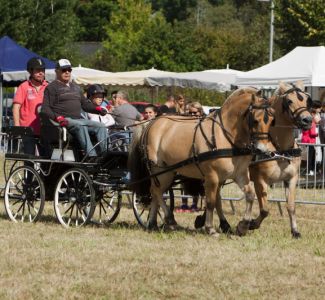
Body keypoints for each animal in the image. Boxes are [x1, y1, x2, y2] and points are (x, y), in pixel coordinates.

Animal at [128, 88, 274, 236]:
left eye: (272, 121)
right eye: (255, 121)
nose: (262, 150)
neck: (225, 136)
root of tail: (150, 123)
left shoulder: (240, 174)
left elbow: (249, 195)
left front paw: (243, 226)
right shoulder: (211, 176)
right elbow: (211, 201)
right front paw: (210, 228)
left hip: (168, 171)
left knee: (156, 193)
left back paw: (153, 223)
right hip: (159, 170)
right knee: (156, 191)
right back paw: (169, 219)